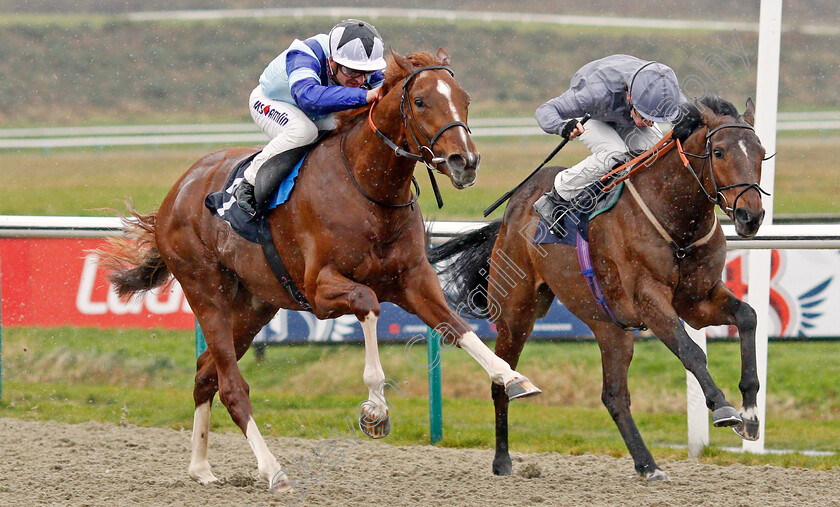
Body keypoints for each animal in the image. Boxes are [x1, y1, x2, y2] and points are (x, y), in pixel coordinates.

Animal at [101, 48, 540, 492]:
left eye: (465, 100)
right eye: (420, 102)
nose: (465, 161)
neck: (369, 190)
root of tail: (176, 193)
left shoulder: (414, 281)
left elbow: (457, 328)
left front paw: (514, 378)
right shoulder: (321, 290)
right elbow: (368, 304)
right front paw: (375, 410)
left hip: (256, 304)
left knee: (206, 370)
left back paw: (201, 468)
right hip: (205, 290)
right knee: (231, 386)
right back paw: (273, 470)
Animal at [434, 97, 768, 482]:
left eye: (761, 152)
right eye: (718, 151)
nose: (750, 216)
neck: (676, 219)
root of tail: (512, 212)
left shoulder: (698, 300)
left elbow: (748, 316)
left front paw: (750, 413)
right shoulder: (649, 299)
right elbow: (691, 351)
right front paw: (724, 408)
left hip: (610, 327)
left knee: (614, 396)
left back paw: (648, 464)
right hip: (515, 315)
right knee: (502, 380)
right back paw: (502, 461)